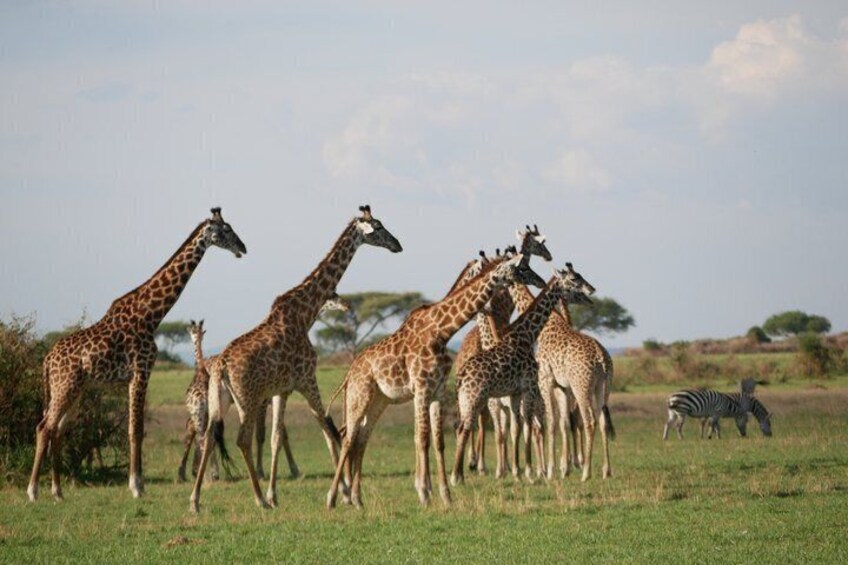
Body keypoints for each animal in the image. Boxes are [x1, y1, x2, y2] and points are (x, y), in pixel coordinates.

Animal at [28, 208, 247, 502]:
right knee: (44, 427)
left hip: (74, 390)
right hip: (65, 385)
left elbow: (135, 429)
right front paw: (136, 486)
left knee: (57, 430)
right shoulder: (141, 371)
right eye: (226, 230)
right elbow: (136, 430)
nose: (243, 248)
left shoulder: (137, 375)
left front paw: (137, 483)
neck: (151, 314)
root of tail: (47, 360)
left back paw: (58, 492)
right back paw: (33, 491)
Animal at [190, 205, 401, 512]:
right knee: (242, 439)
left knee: (208, 437)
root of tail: (221, 367)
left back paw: (195, 500)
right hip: (247, 399)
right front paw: (342, 494)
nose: (398, 245)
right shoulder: (306, 379)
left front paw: (274, 495)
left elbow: (278, 438)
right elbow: (328, 429)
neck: (305, 313)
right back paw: (256, 499)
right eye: (380, 227)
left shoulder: (282, 390)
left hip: (221, 400)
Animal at [325, 253, 546, 509]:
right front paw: (423, 493)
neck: (442, 331)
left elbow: (438, 441)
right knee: (348, 438)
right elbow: (421, 438)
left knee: (361, 439)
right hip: (359, 396)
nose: (540, 281)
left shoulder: (436, 391)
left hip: (379, 401)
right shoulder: (421, 389)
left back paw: (357, 499)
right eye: (522, 267)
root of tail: (350, 372)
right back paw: (334, 498)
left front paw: (445, 495)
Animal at [451, 263, 596, 487]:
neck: (526, 335)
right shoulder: (527, 387)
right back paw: (456, 477)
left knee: (463, 428)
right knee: (466, 428)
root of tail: (461, 376)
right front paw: (528, 473)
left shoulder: (515, 392)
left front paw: (519, 472)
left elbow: (516, 429)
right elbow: (524, 428)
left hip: (469, 399)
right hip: (476, 397)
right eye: (573, 280)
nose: (591, 290)